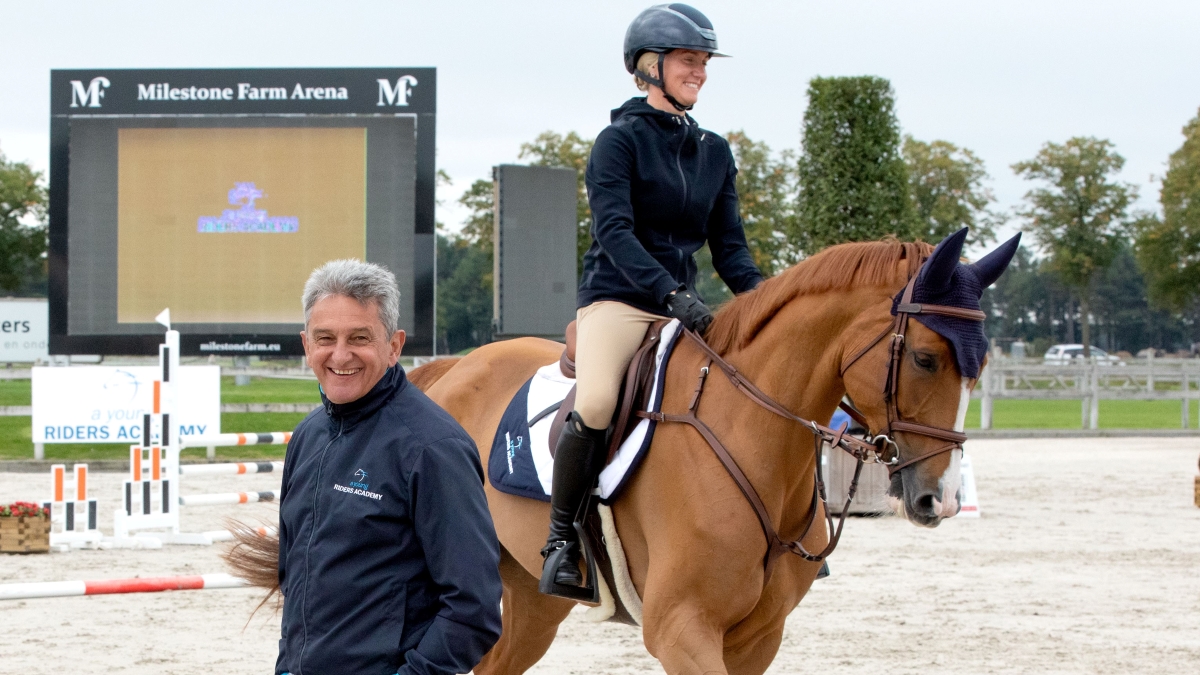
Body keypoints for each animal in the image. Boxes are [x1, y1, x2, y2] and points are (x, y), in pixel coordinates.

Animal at [229, 231, 1019, 674]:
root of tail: (450, 368)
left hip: (526, 601)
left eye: (978, 363)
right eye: (925, 358)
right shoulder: (680, 629)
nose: (940, 499)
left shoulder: (758, 638)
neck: (754, 440)